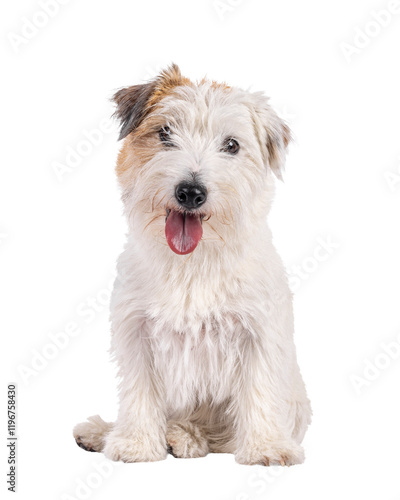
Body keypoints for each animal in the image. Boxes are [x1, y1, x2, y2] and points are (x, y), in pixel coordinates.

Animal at [74, 64, 312, 466]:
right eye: (165, 133)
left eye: (231, 145)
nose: (190, 192)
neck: (192, 262)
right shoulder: (137, 332)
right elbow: (139, 392)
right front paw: (136, 443)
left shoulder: (257, 334)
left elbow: (259, 391)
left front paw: (267, 446)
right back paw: (106, 432)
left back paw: (183, 436)